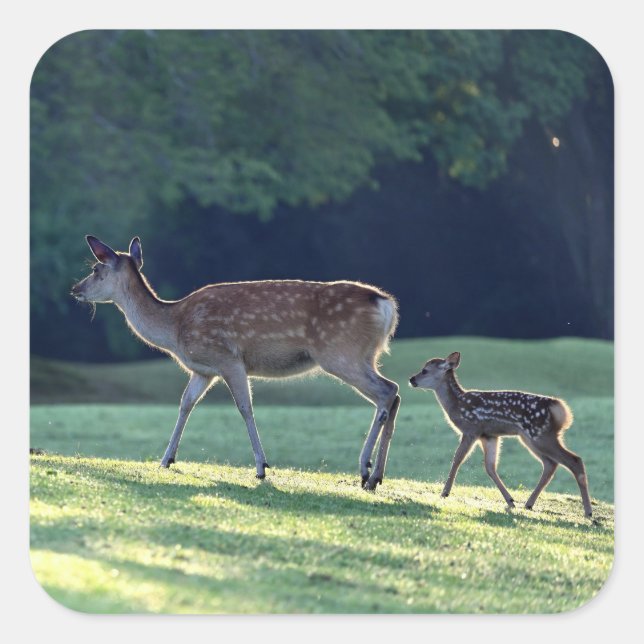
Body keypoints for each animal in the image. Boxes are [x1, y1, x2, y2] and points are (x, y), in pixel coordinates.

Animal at [71, 236, 400, 490]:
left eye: (96, 269)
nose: (75, 289)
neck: (175, 327)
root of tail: (386, 305)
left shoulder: (228, 359)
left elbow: (244, 407)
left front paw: (261, 467)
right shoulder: (203, 371)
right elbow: (185, 404)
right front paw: (166, 460)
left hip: (340, 352)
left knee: (387, 391)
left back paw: (364, 469)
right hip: (363, 355)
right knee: (394, 393)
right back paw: (377, 477)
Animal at [409, 352, 593, 517]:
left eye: (425, 370)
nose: (411, 379)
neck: (457, 405)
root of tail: (560, 409)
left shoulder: (471, 429)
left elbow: (457, 459)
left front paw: (444, 493)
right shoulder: (489, 435)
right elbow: (490, 467)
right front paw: (510, 501)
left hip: (540, 434)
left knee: (574, 460)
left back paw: (588, 512)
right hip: (531, 437)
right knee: (550, 464)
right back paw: (528, 503)